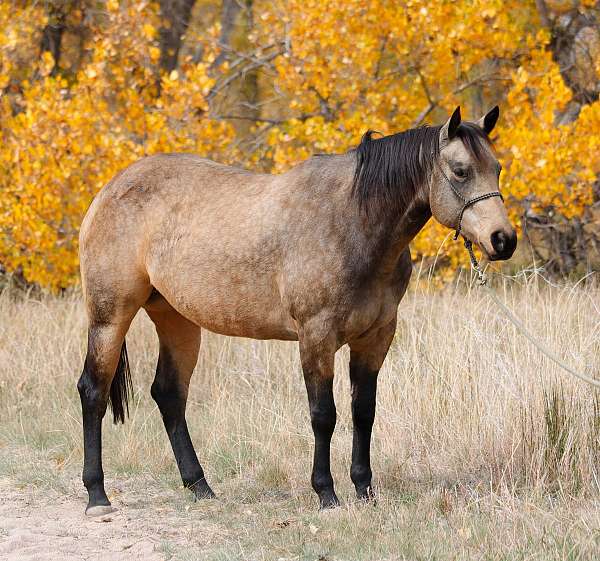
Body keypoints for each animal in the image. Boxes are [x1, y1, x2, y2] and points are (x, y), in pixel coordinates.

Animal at [76, 104, 516, 512]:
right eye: (460, 171)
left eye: (496, 168)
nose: (503, 240)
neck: (352, 223)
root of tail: (108, 191)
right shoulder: (316, 336)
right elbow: (324, 415)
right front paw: (326, 493)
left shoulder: (375, 338)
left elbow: (363, 412)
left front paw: (365, 490)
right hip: (110, 316)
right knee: (93, 390)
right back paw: (97, 494)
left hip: (177, 320)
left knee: (169, 394)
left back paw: (199, 486)